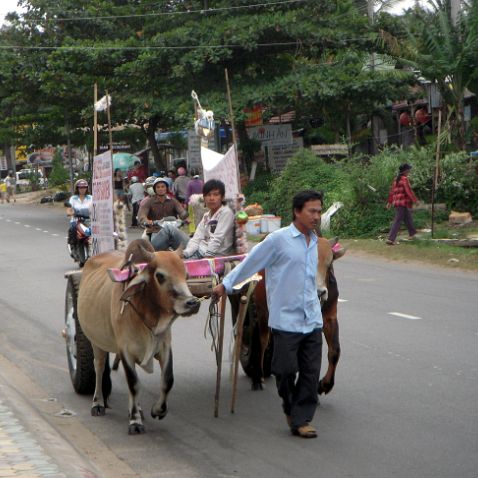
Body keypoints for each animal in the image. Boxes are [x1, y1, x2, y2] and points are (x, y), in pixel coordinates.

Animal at [78, 239, 200, 434]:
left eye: (186, 274)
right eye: (160, 276)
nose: (192, 303)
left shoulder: (164, 347)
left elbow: (167, 380)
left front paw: (157, 410)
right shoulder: (125, 351)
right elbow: (134, 384)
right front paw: (135, 421)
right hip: (96, 342)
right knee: (99, 368)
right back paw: (97, 403)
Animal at [241, 238, 346, 392]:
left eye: (330, 262)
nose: (320, 292)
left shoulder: (329, 317)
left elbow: (335, 350)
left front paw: (325, 384)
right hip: (263, 311)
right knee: (262, 340)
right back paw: (258, 378)